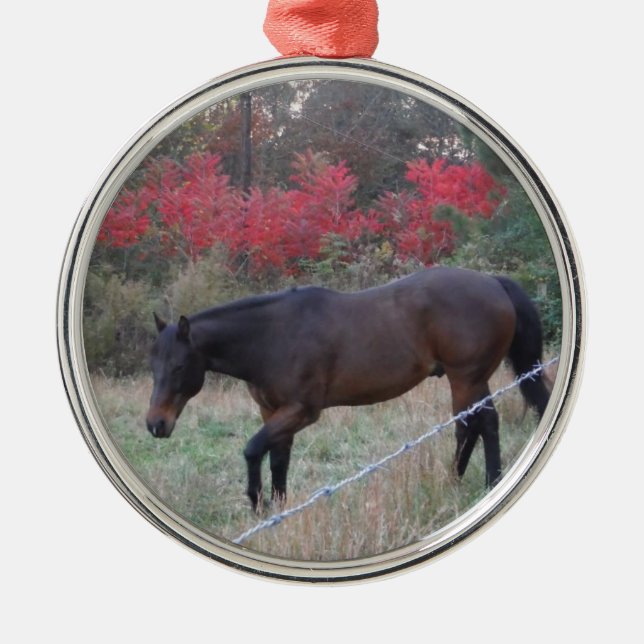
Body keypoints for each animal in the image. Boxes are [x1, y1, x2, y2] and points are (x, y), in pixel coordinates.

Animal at [146, 267, 550, 512]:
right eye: (153, 366)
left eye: (179, 366)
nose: (155, 424)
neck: (273, 337)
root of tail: (493, 282)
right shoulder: (273, 412)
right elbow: (277, 459)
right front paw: (278, 511)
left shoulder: (301, 411)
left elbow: (252, 449)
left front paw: (258, 504)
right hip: (467, 380)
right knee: (470, 426)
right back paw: (458, 481)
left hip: (466, 377)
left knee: (481, 424)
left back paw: (486, 482)